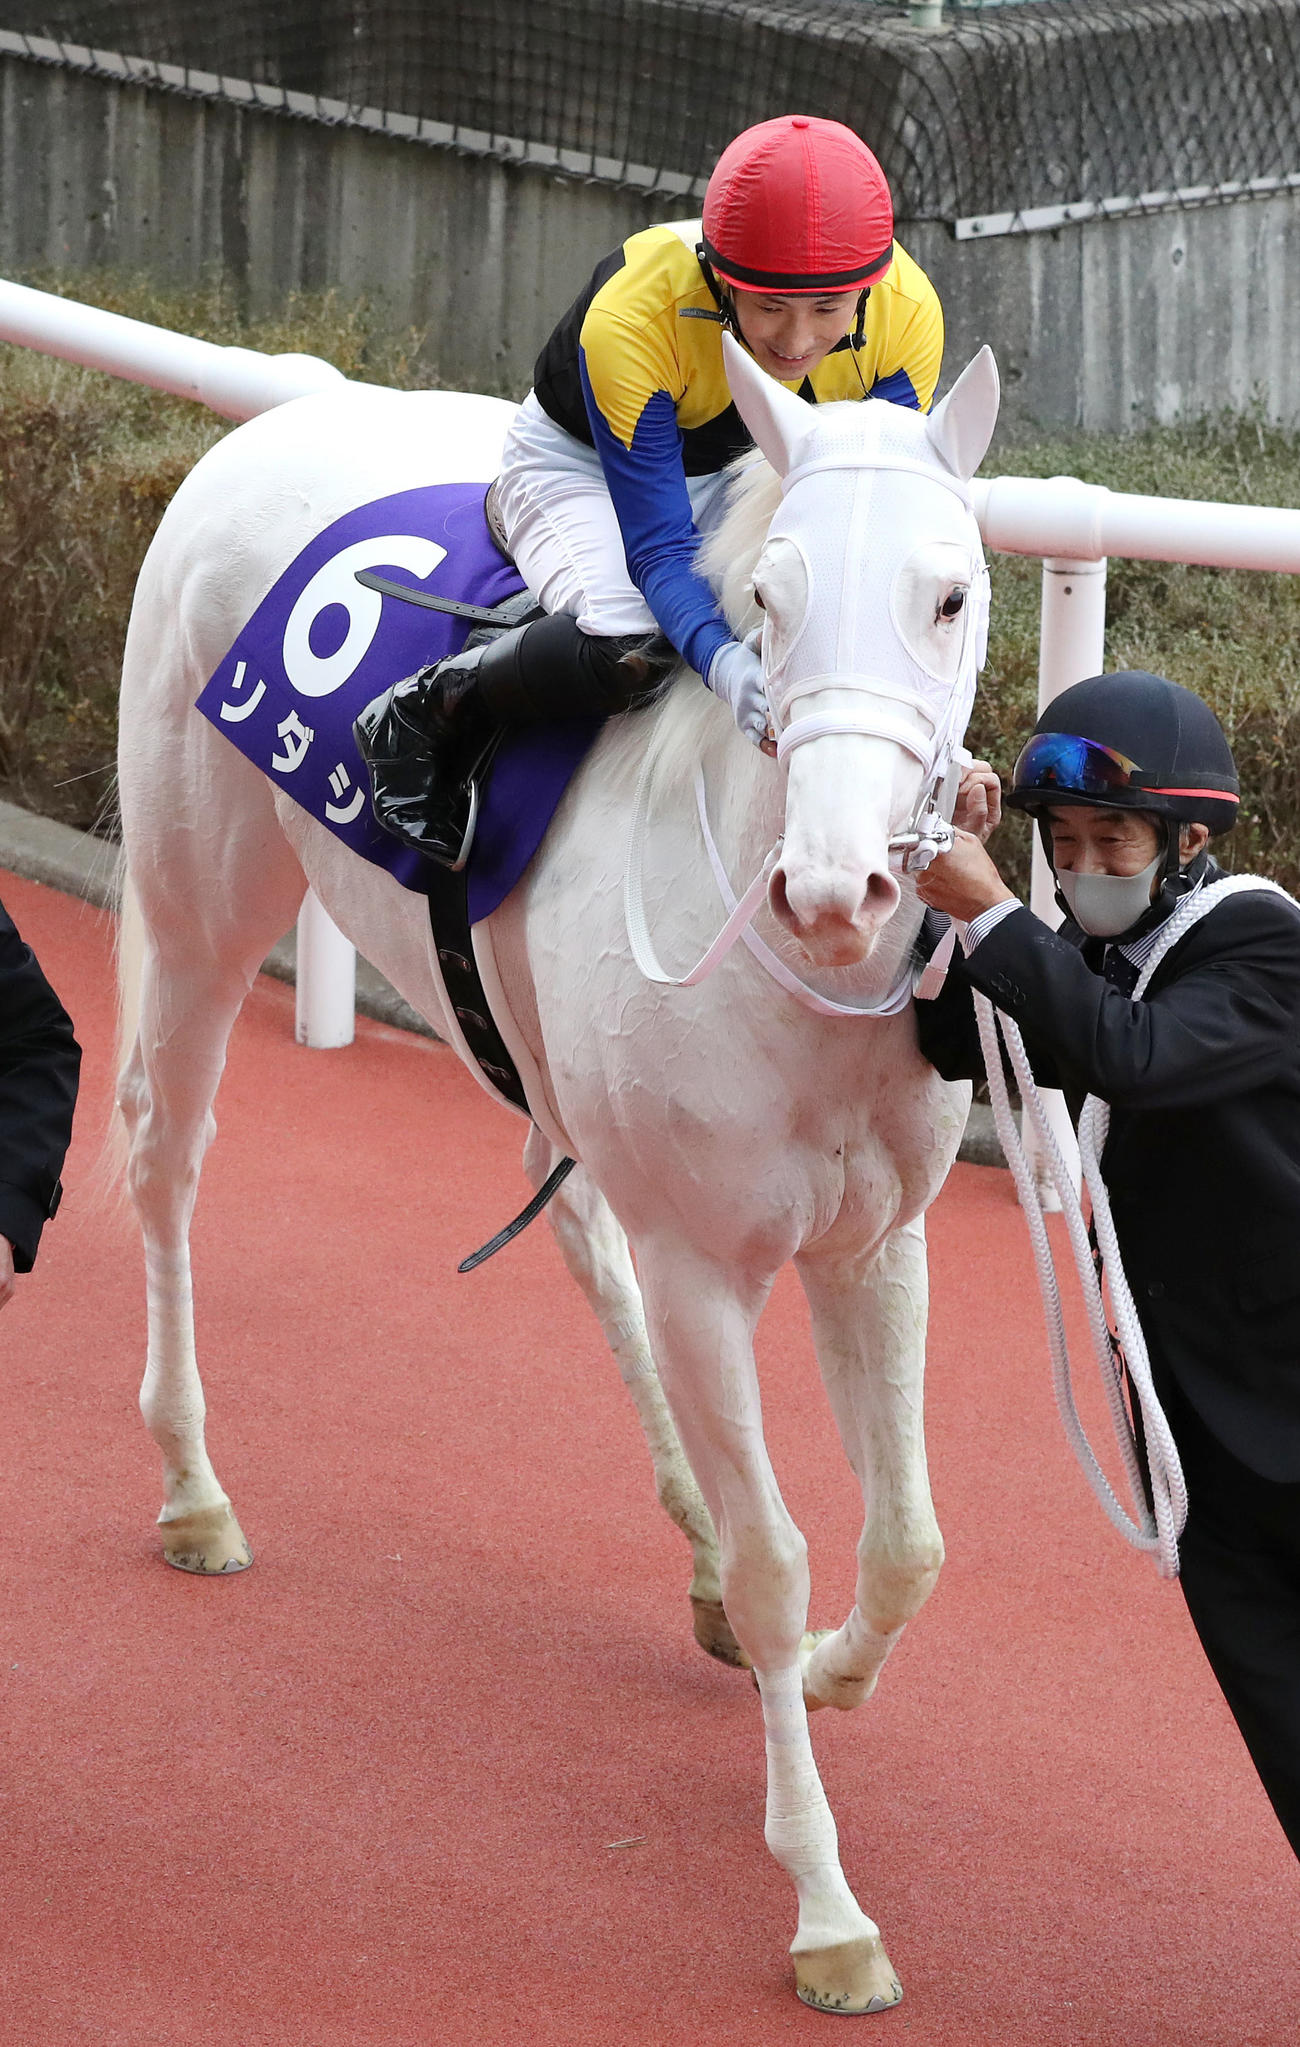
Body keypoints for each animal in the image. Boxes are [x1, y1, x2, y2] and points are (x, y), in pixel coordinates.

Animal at [114, 334, 999, 2015]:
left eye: (953, 594)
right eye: (767, 598)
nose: (838, 888)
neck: (788, 965)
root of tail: (278, 422)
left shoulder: (873, 1238)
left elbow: (911, 1542)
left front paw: (836, 1665)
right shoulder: (710, 1264)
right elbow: (787, 1556)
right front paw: (827, 1906)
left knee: (577, 1219)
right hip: (201, 896)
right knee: (167, 1161)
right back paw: (191, 1483)